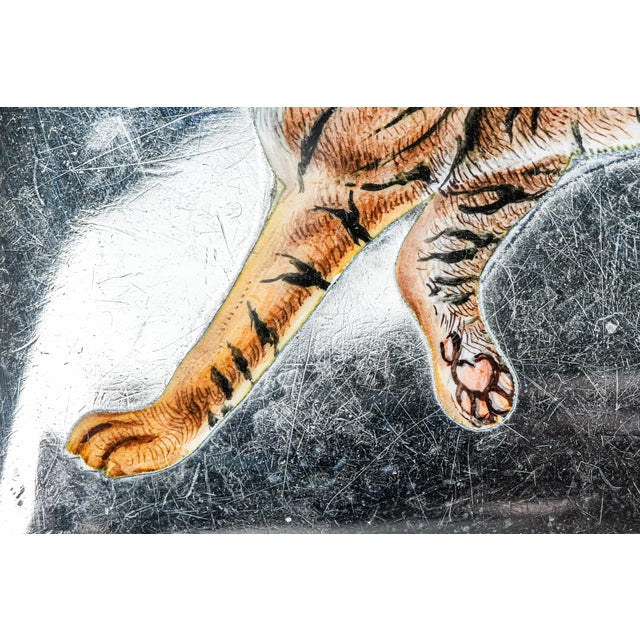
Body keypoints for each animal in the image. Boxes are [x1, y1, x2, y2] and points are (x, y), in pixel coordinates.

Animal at [66, 107, 640, 477]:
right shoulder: (508, 156)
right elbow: (436, 250)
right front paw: (473, 377)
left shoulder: (343, 180)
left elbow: (239, 330)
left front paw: (149, 433)